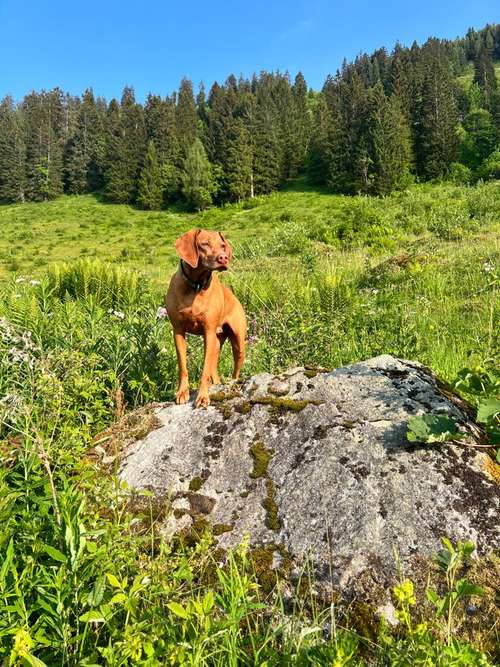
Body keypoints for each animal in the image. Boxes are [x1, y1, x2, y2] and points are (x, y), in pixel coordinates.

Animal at [165, 230, 247, 408]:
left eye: (222, 245)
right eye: (205, 244)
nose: (224, 258)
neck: (195, 286)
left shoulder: (208, 332)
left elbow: (204, 371)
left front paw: (202, 397)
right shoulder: (178, 331)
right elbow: (183, 366)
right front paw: (182, 392)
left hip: (238, 343)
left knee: (234, 370)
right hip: (216, 342)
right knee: (213, 367)